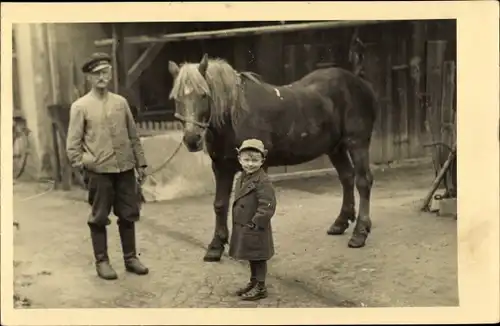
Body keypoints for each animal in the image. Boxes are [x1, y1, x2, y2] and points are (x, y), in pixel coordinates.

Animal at [169, 53, 378, 262]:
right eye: (177, 98)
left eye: (204, 94)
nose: (192, 139)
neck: (235, 117)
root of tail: (360, 83)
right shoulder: (221, 167)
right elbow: (220, 204)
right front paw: (215, 247)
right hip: (335, 148)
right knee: (347, 178)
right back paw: (340, 223)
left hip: (357, 143)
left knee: (363, 181)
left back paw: (360, 233)